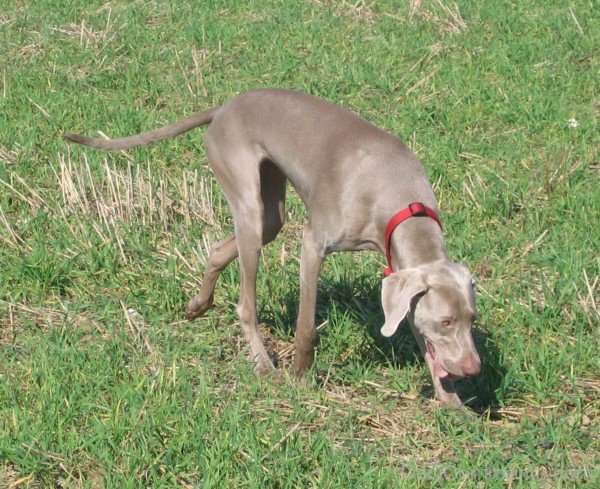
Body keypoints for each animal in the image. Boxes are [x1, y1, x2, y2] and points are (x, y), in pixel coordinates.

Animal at [63, 88, 480, 408]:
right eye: (446, 321)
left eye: (471, 319)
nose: (474, 369)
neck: (401, 201)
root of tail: (226, 106)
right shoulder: (313, 244)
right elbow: (306, 325)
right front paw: (299, 376)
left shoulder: (400, 270)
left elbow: (422, 338)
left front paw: (452, 403)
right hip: (246, 201)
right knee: (245, 302)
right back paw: (263, 362)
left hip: (269, 214)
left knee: (219, 250)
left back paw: (198, 305)